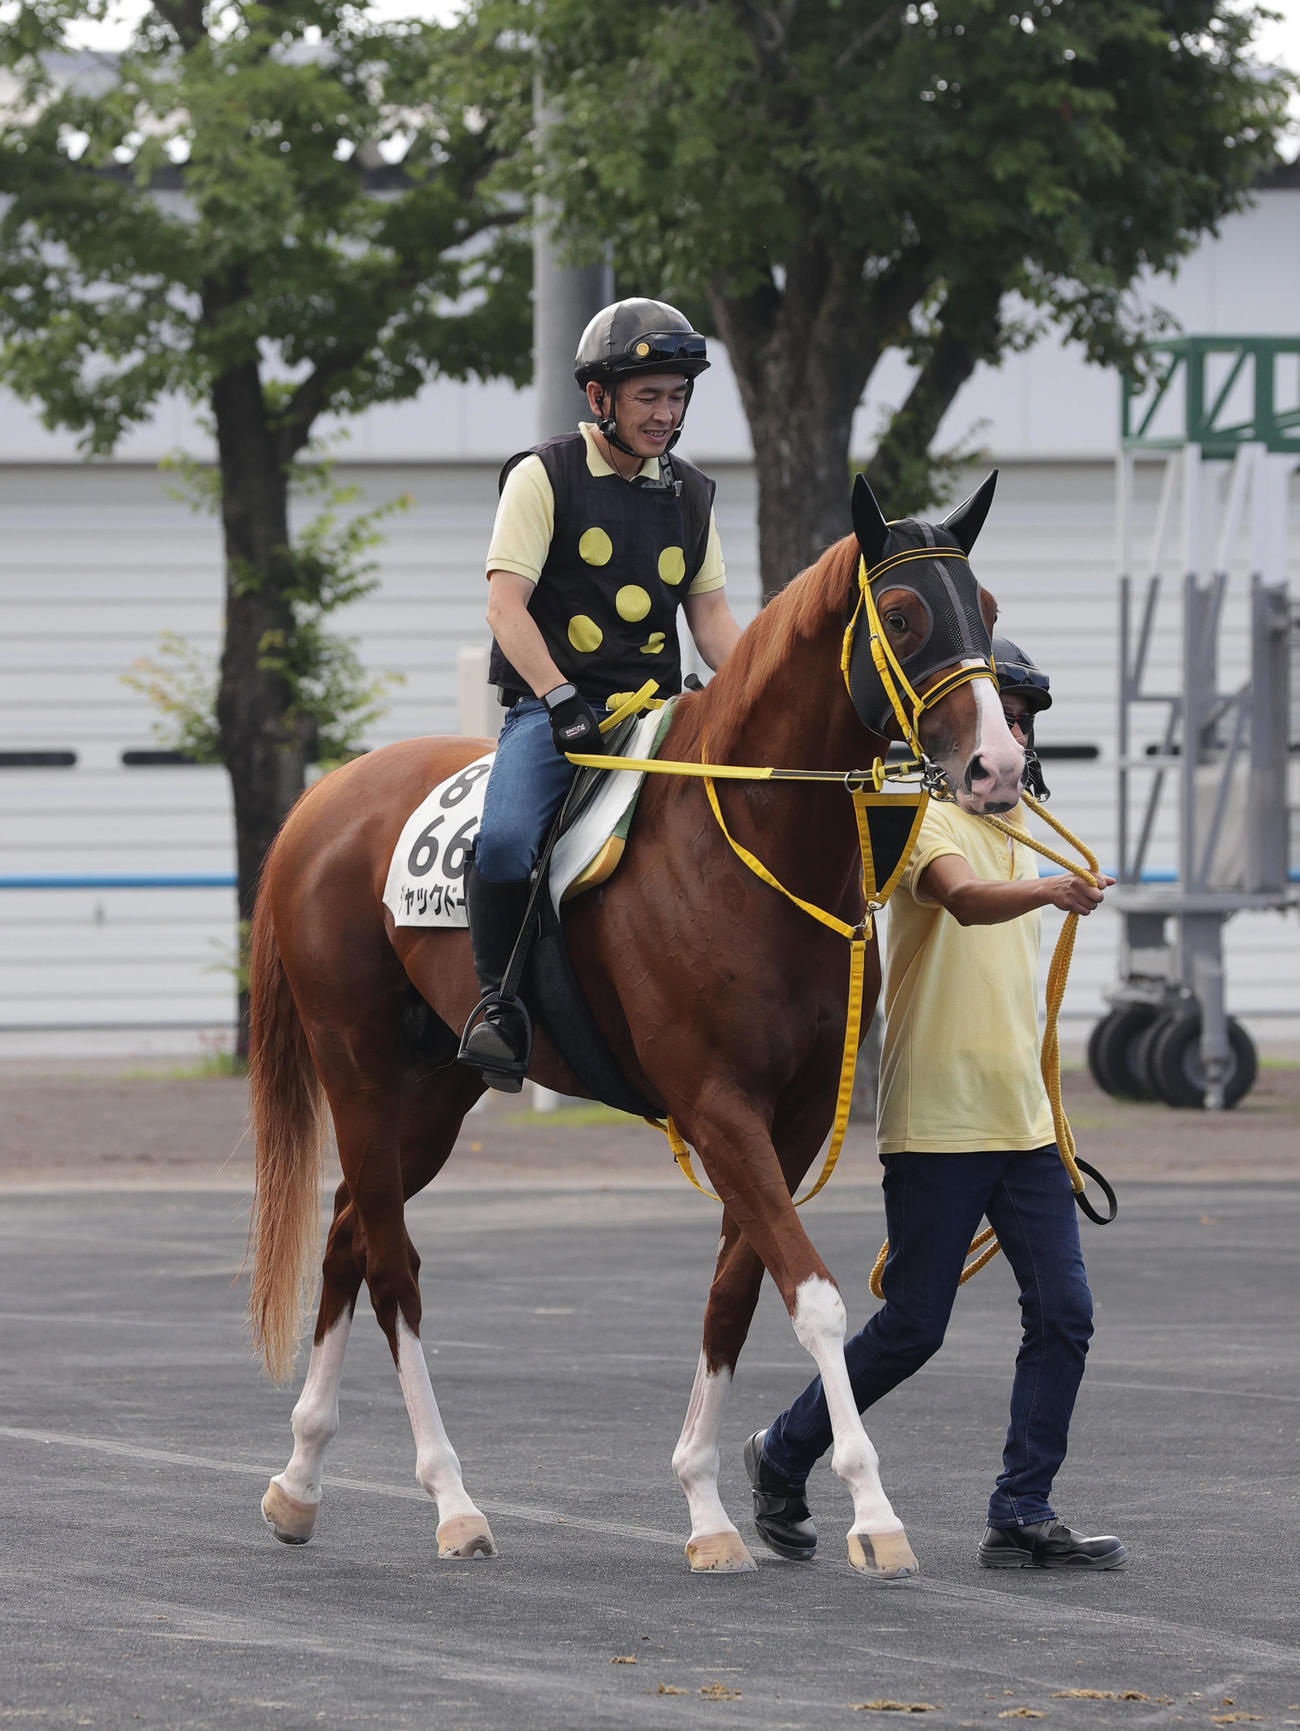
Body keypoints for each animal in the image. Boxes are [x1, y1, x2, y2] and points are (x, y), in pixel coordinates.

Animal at [245, 472, 1025, 1576]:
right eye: (909, 616)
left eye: (987, 612)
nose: (998, 766)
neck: (747, 843)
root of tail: (320, 806)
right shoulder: (717, 1107)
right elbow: (817, 1298)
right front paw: (873, 1511)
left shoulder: (783, 1121)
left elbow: (737, 1293)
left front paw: (705, 1507)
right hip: (359, 1074)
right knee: (393, 1265)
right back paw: (451, 1499)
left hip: (433, 1095)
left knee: (352, 1231)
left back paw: (301, 1480)